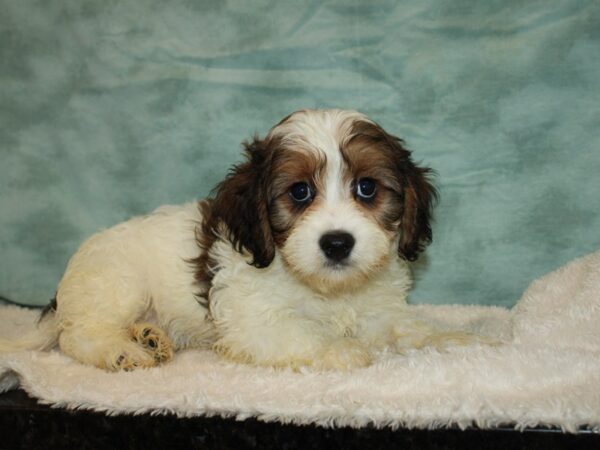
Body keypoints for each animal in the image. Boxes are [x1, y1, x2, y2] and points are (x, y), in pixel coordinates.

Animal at [0, 110, 480, 372]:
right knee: (78, 337)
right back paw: (122, 351)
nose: (337, 243)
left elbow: (408, 328)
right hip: (115, 284)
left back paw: (150, 337)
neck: (327, 289)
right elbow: (302, 332)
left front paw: (459, 338)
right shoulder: (255, 323)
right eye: (299, 192)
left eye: (367, 188)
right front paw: (342, 350)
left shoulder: (379, 311)